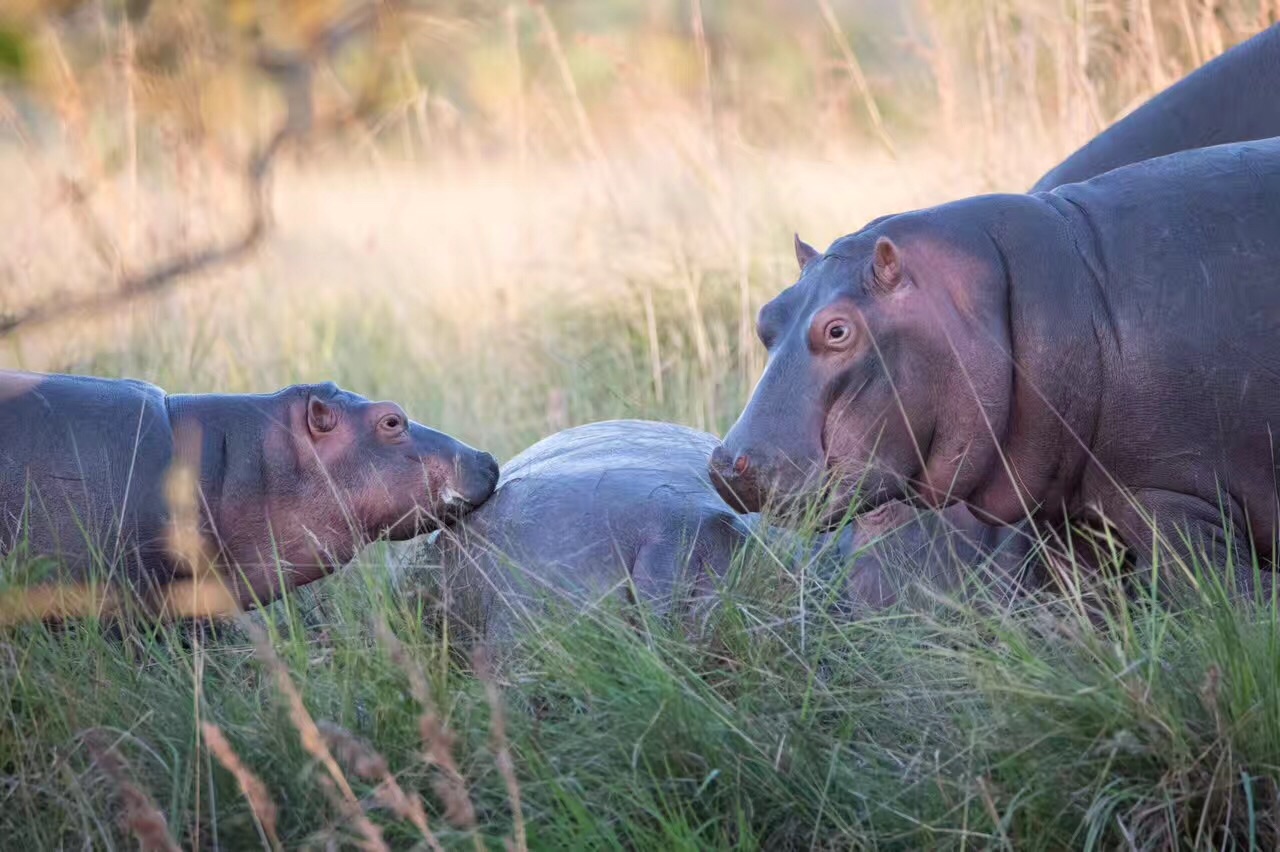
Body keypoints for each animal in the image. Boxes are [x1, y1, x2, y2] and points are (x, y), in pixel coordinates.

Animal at [716, 136, 1280, 593]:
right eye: (767, 316)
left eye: (837, 330)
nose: (726, 463)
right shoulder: (1081, 525)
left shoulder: (1170, 500)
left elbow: (1230, 603)